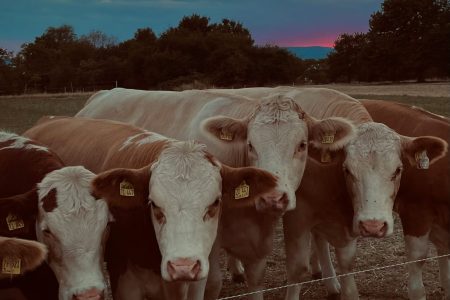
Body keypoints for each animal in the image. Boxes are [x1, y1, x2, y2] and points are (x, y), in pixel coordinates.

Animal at [207, 86, 446, 300]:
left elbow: (346, 261)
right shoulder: (298, 215)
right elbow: (297, 268)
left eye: (398, 170)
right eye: (348, 170)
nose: (374, 226)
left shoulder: (344, 218)